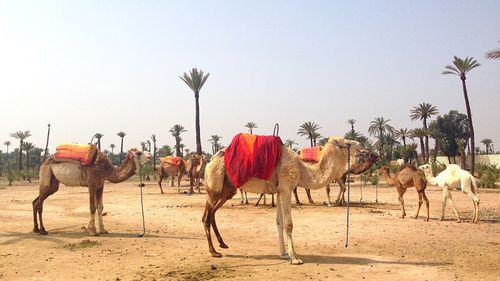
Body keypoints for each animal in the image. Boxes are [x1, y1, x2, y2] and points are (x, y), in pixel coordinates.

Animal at [201, 137, 366, 264]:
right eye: (347, 143)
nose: (362, 146)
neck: (302, 169)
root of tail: (209, 161)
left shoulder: (280, 191)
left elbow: (279, 222)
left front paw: (284, 253)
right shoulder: (286, 188)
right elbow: (288, 224)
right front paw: (295, 258)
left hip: (228, 190)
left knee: (212, 213)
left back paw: (222, 244)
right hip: (214, 186)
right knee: (206, 216)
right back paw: (213, 251)